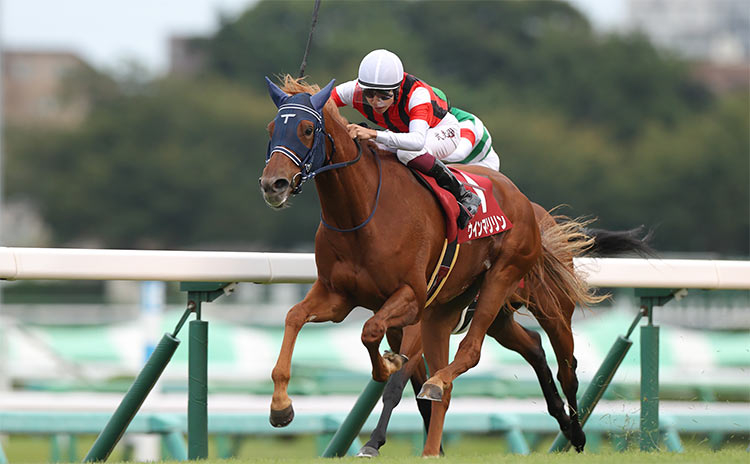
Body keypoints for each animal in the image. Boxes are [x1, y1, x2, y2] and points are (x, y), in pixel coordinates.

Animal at [262, 75, 604, 454]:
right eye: (272, 128)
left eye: (308, 129)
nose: (273, 184)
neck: (362, 214)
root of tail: (526, 203)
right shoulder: (338, 297)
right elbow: (294, 317)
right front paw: (281, 406)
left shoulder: (411, 299)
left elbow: (375, 343)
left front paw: (383, 387)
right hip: (464, 312)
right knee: (529, 346)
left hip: (521, 288)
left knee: (544, 363)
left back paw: (575, 432)